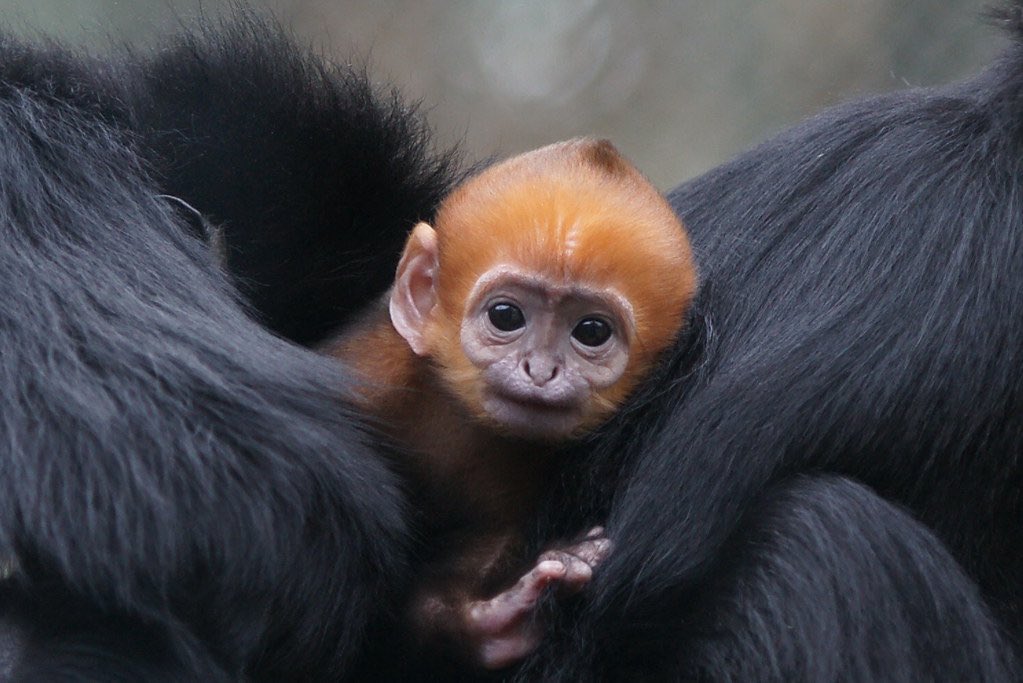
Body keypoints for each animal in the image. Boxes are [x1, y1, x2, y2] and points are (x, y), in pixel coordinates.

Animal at [323, 137, 697, 670]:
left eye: (591, 331)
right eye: (505, 316)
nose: (539, 370)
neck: (455, 421)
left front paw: (500, 617)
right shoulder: (368, 373)